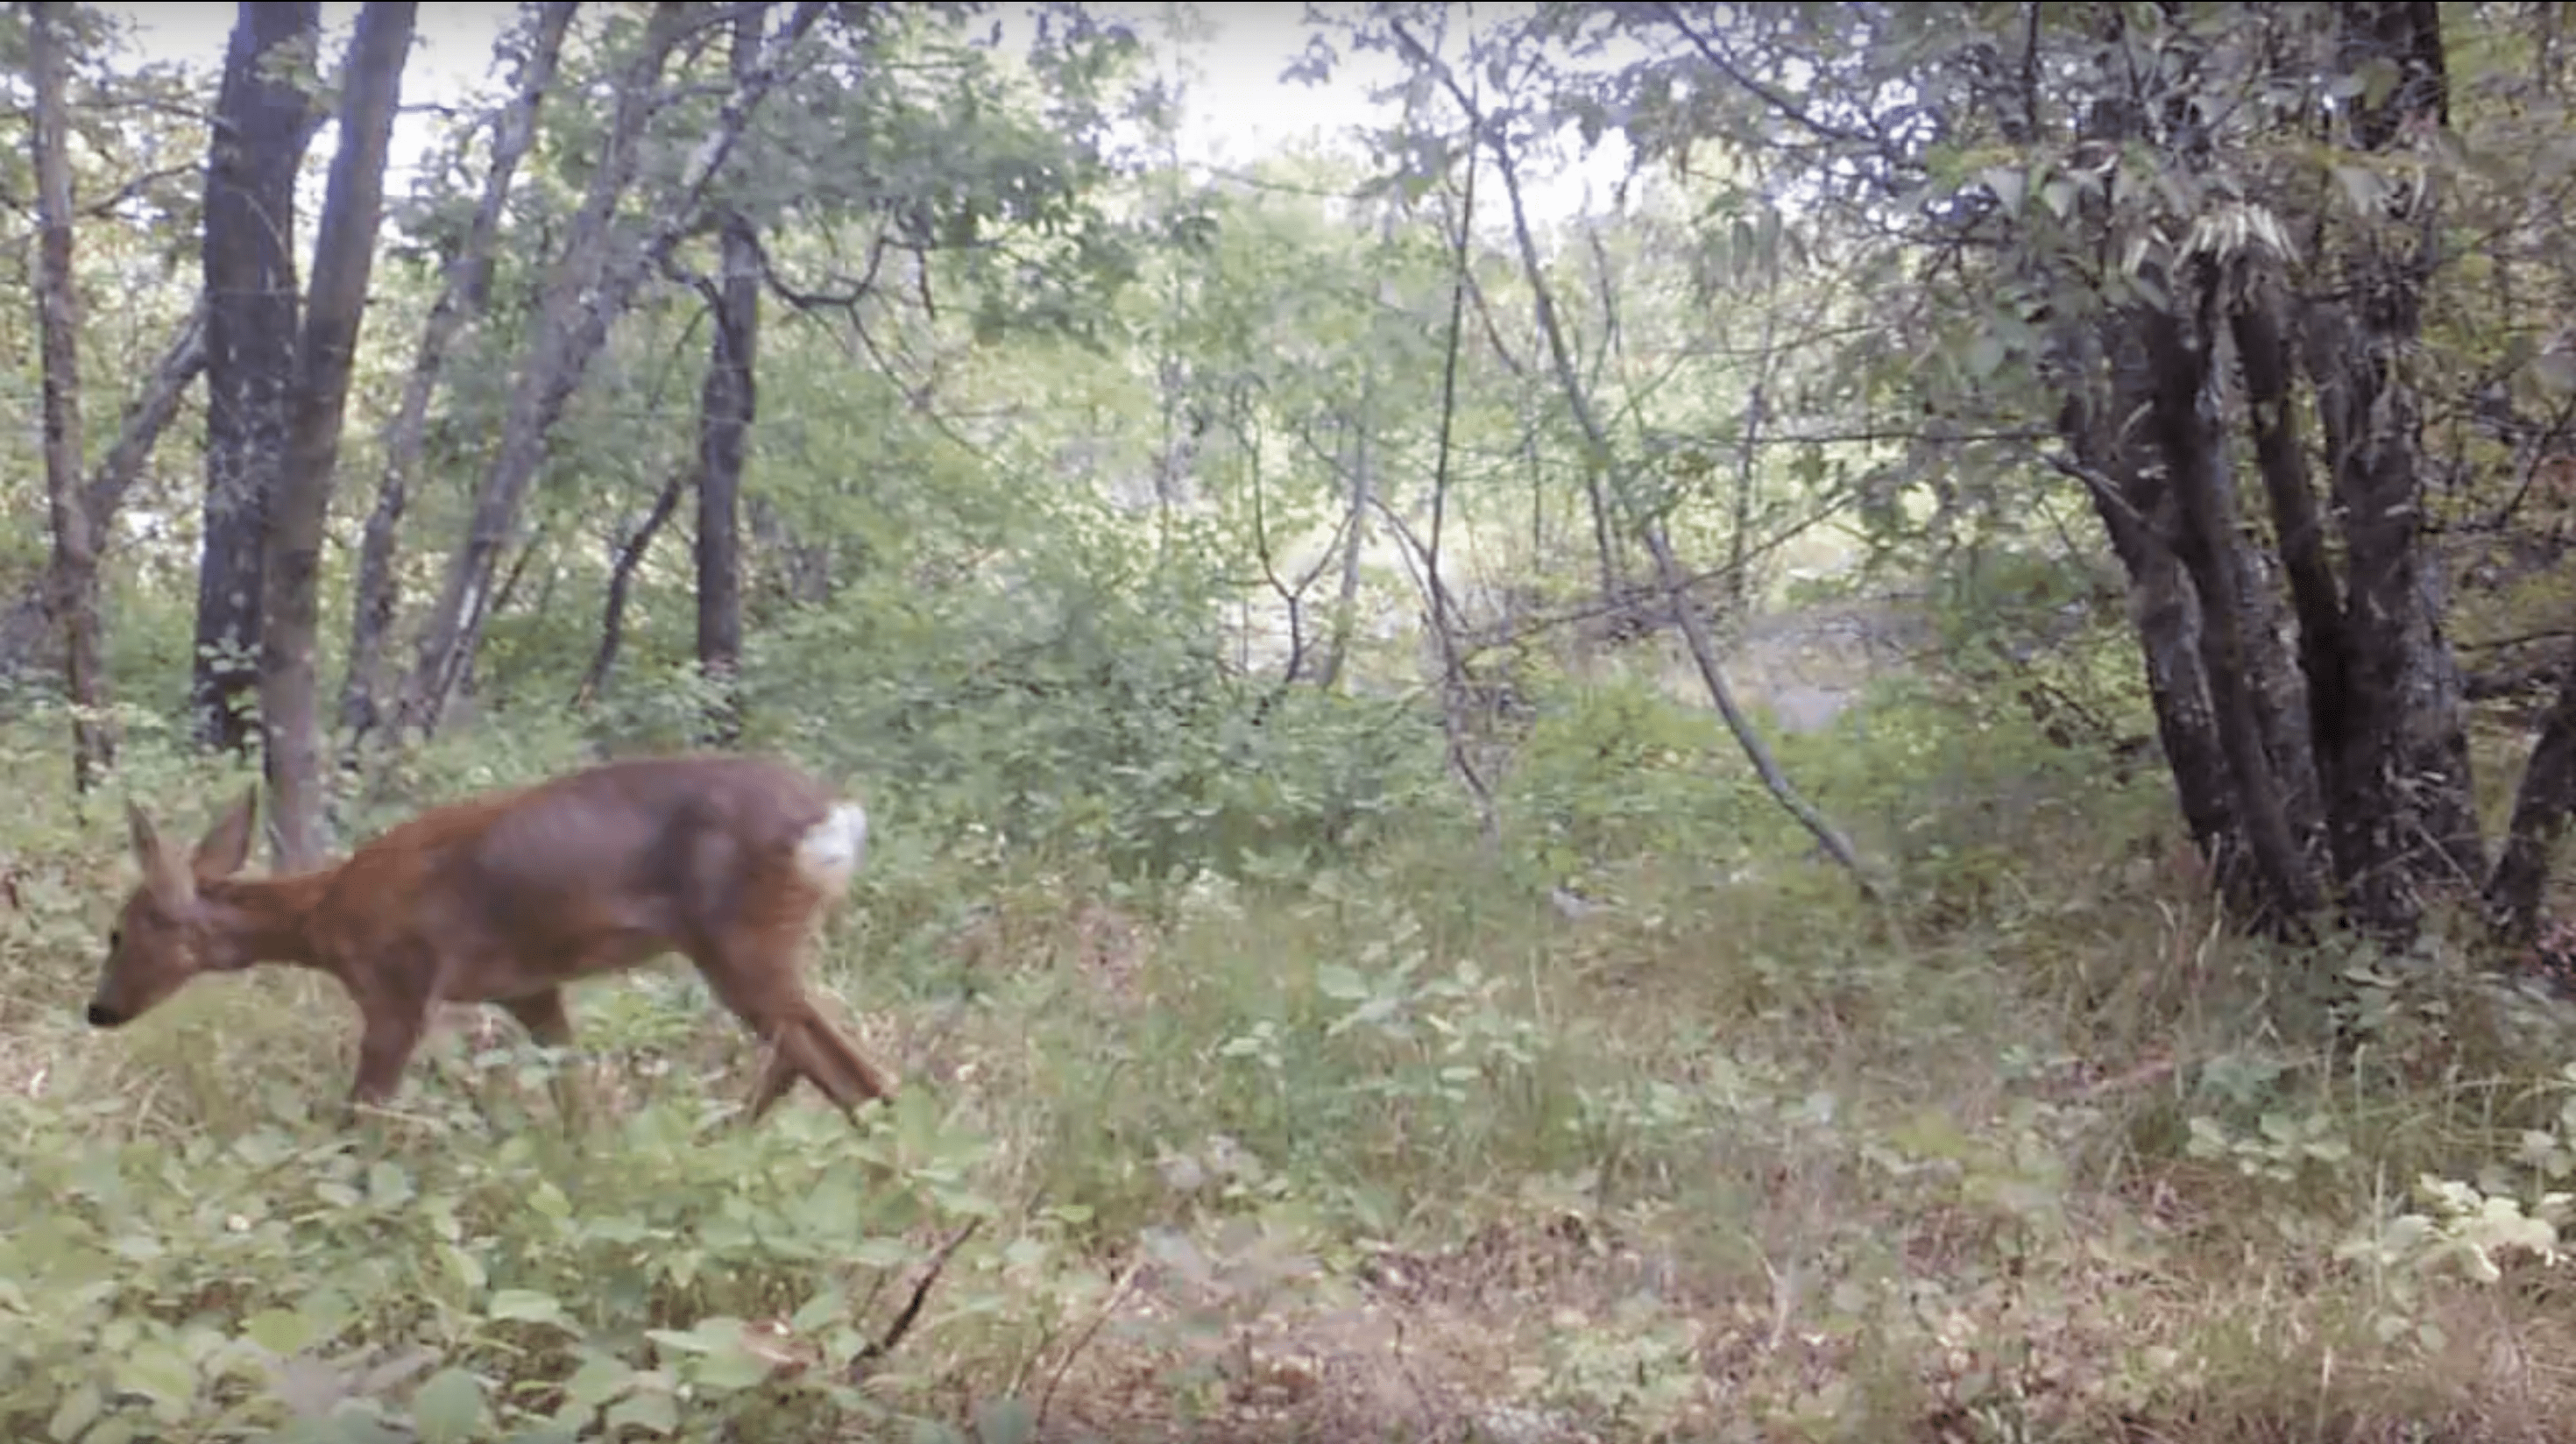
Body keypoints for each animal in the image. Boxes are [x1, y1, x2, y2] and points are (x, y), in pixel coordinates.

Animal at [80, 756, 902, 1127]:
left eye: (119, 930)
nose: (99, 1010)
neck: (326, 915)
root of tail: (837, 817)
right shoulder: (530, 990)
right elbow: (574, 1101)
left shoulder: (400, 984)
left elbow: (364, 1114)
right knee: (805, 1063)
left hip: (742, 940)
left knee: (856, 1074)